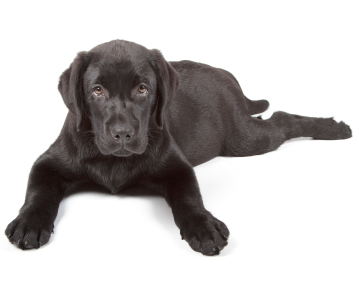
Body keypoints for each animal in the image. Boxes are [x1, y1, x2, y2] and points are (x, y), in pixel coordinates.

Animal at [5, 39, 352, 256]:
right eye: (98, 90)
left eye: (143, 89)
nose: (122, 134)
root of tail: (225, 75)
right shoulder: (48, 162)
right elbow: (38, 191)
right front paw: (28, 223)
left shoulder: (177, 167)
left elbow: (189, 198)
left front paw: (204, 227)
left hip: (244, 139)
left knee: (281, 119)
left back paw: (333, 128)